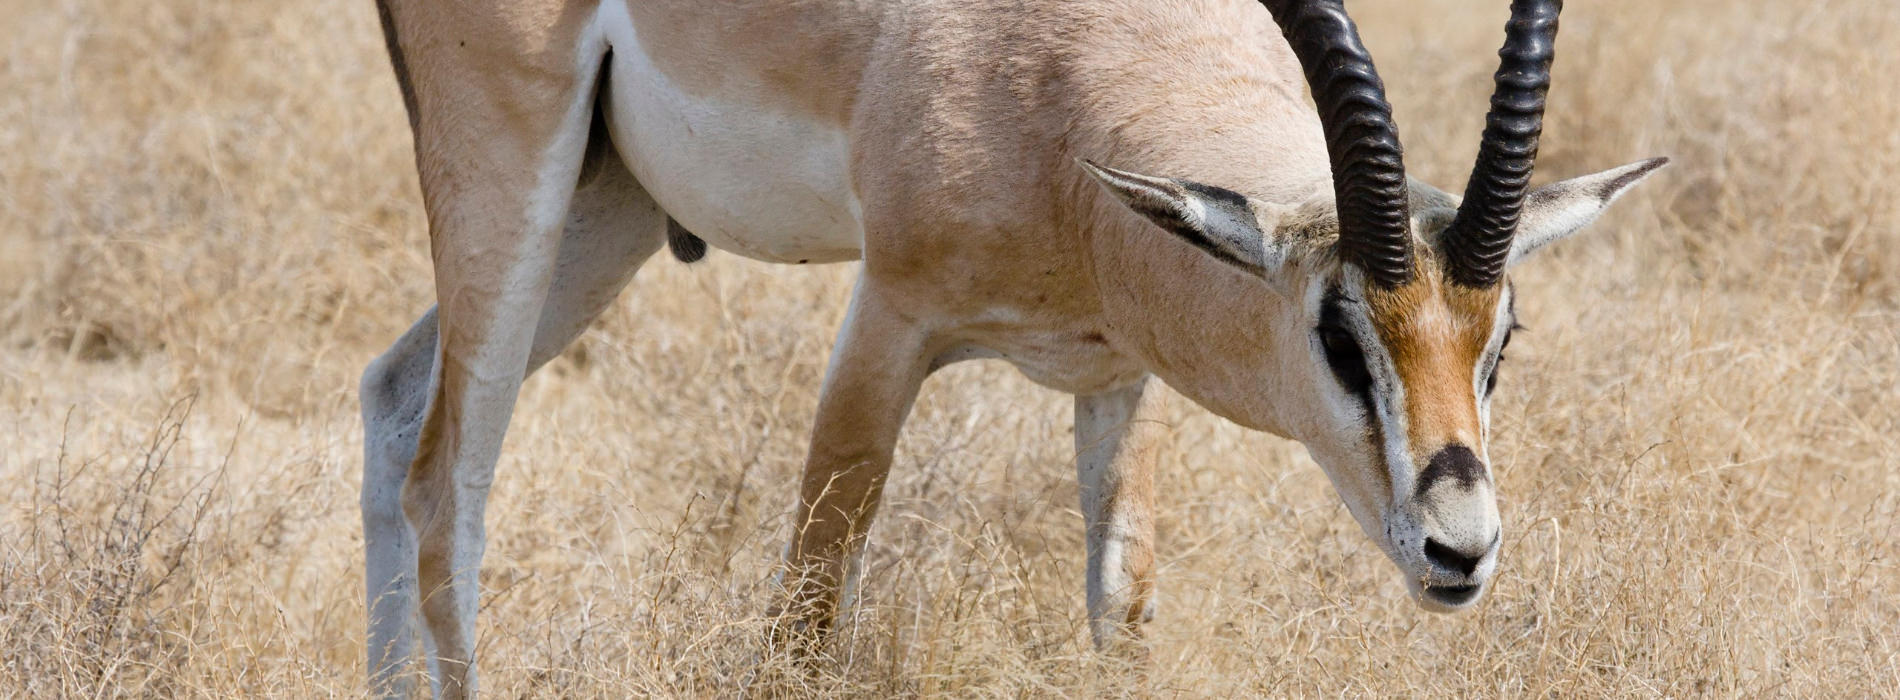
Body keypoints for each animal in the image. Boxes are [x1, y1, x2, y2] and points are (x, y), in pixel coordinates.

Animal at [360, 0, 1663, 693]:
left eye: (1499, 337)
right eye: (1339, 333)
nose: (1460, 548)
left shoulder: (1120, 376)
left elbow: (1121, 610)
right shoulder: (887, 318)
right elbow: (811, 596)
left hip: (609, 206)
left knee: (392, 391)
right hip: (517, 179)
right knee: (448, 477)